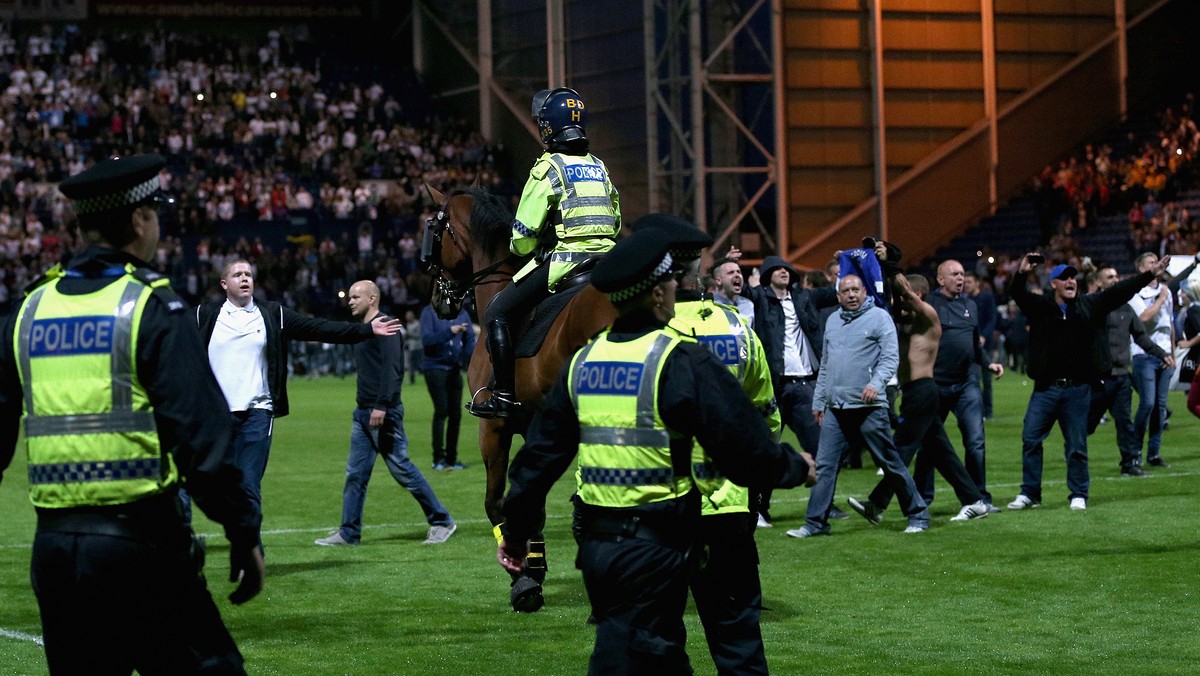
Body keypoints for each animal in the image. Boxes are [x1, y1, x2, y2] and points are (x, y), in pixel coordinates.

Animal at [424, 184, 619, 614]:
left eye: (432, 231)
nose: (437, 301)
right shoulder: (535, 430)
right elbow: (534, 503)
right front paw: (533, 565)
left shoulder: (494, 428)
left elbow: (497, 502)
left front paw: (522, 578)